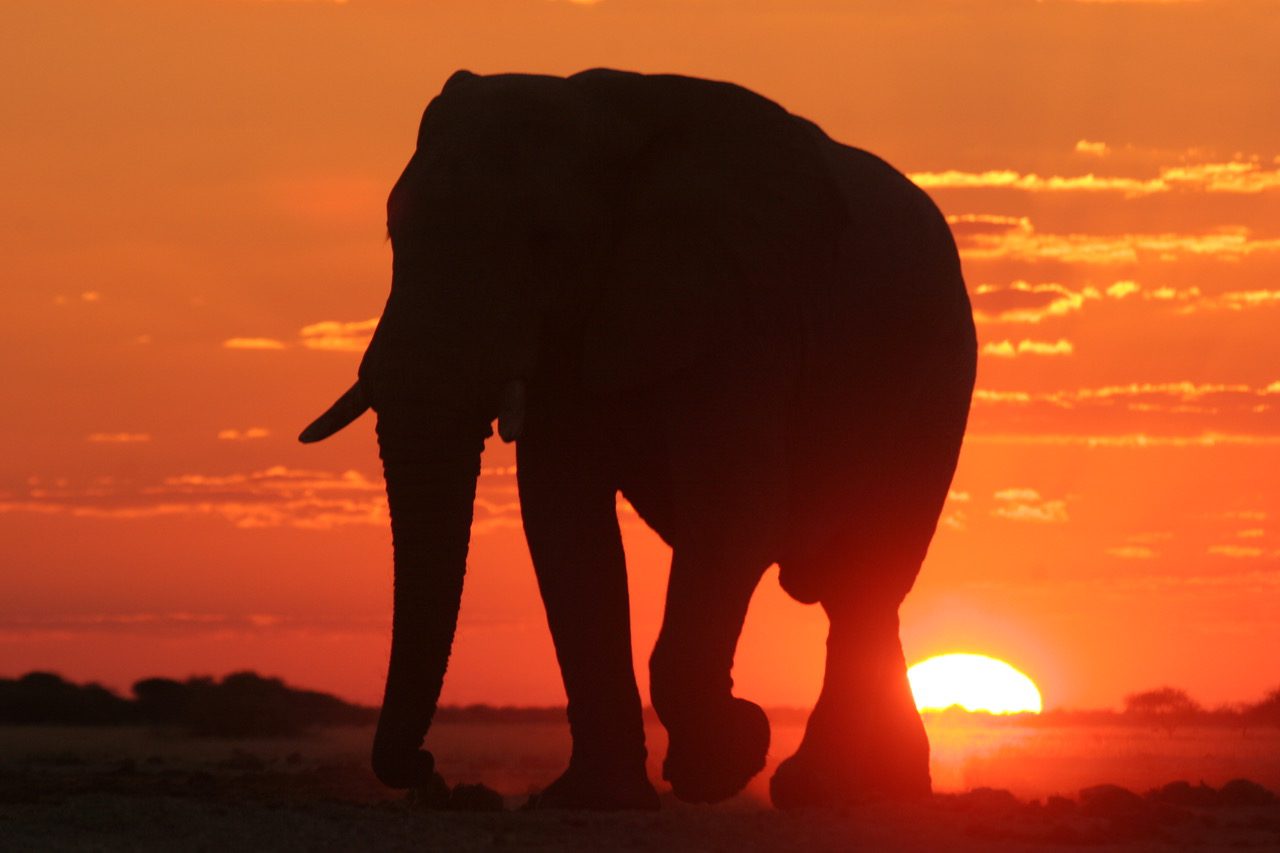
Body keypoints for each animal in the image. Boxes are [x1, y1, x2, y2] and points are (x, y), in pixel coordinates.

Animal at [300, 68, 976, 810]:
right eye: (395, 234)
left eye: (546, 239)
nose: (428, 769)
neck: (602, 112)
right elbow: (563, 519)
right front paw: (591, 799)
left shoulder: (742, 313)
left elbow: (731, 507)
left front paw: (726, 757)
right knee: (859, 590)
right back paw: (877, 791)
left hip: (938, 383)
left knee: (866, 576)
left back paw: (825, 792)